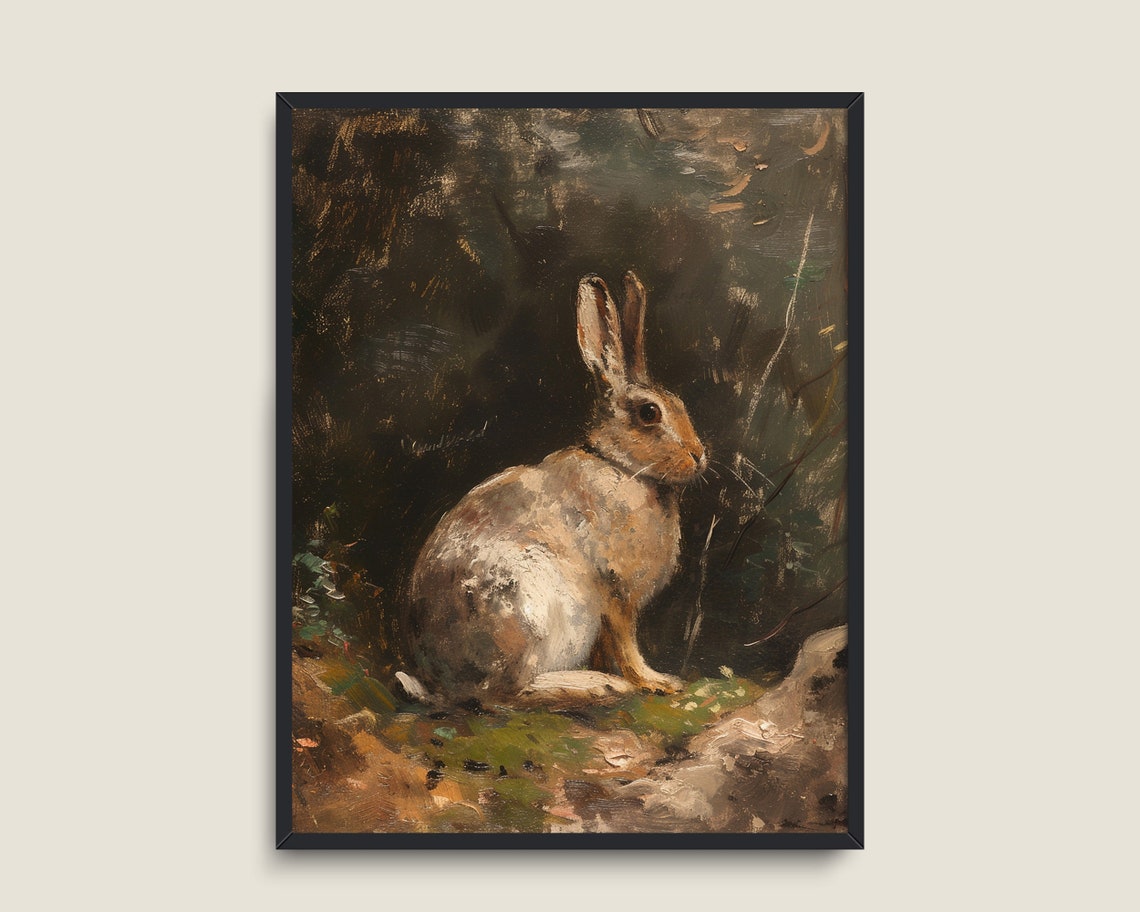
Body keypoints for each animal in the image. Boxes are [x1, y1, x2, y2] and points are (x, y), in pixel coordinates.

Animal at [403, 272, 707, 705]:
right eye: (649, 413)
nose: (699, 455)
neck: (621, 467)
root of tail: (444, 685)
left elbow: (608, 647)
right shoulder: (616, 593)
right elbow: (627, 645)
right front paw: (656, 681)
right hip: (526, 611)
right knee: (506, 694)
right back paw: (596, 686)